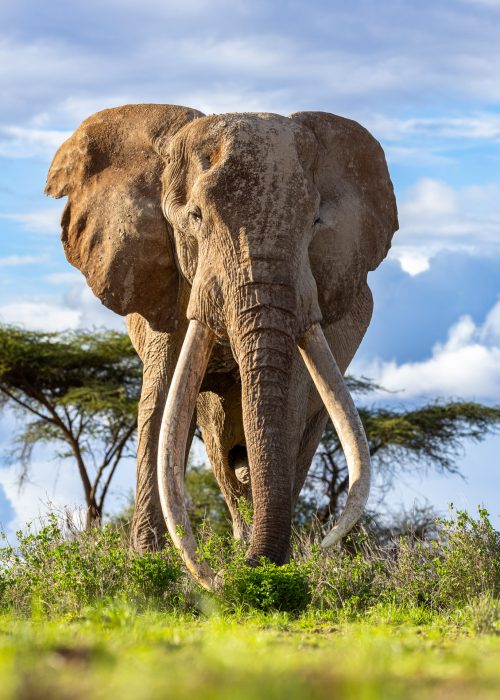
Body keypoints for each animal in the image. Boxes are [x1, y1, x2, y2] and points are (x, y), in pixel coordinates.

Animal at [45, 104, 398, 589]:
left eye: (314, 223)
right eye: (195, 217)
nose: (234, 576)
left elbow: (286, 410)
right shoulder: (169, 285)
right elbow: (160, 407)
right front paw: (149, 570)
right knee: (218, 441)